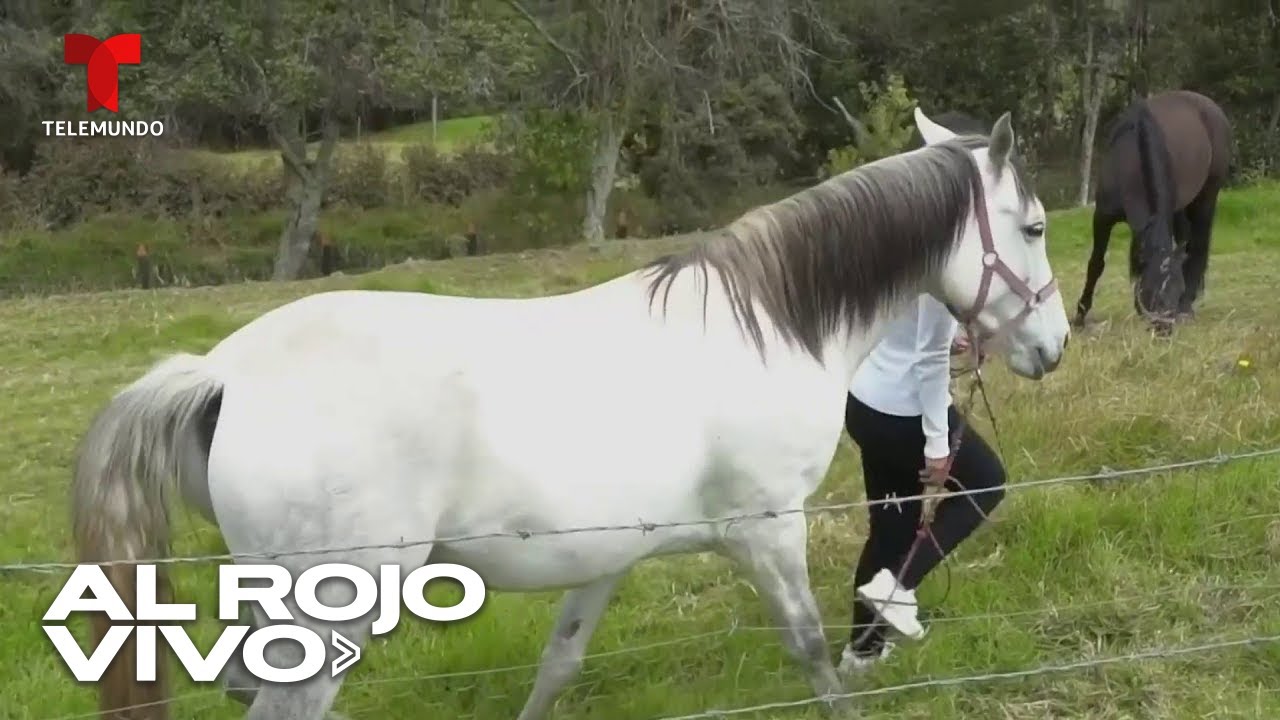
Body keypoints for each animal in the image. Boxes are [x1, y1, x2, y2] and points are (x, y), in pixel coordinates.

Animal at [70, 108, 1070, 720]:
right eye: (1033, 227)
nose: (1053, 346)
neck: (769, 323)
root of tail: (219, 374)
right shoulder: (768, 532)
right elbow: (812, 651)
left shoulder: (608, 555)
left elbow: (558, 663)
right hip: (331, 612)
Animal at [1072, 90, 1232, 332]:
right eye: (1151, 290)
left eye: (1176, 289)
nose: (1165, 329)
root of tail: (1211, 107)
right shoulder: (1102, 217)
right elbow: (1096, 264)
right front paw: (1080, 317)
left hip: (1207, 196)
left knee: (1198, 248)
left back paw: (1187, 308)